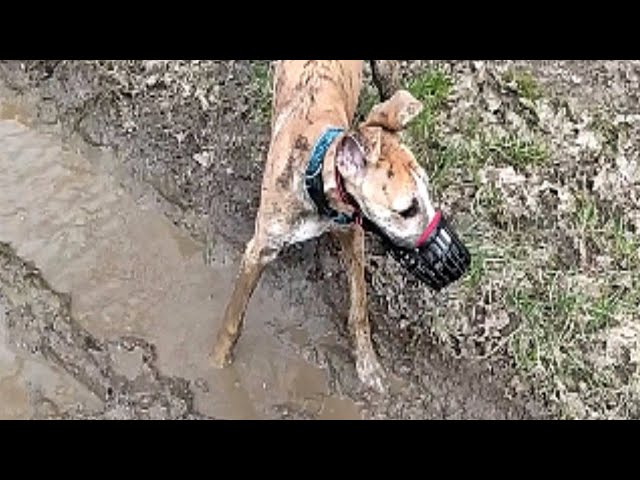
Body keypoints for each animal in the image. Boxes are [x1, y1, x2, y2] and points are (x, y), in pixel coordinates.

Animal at [211, 60, 440, 392]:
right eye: (407, 209)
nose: (437, 240)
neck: (316, 168)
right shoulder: (259, 250)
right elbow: (233, 316)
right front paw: (217, 365)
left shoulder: (352, 232)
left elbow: (359, 307)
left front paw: (368, 364)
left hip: (385, 72)